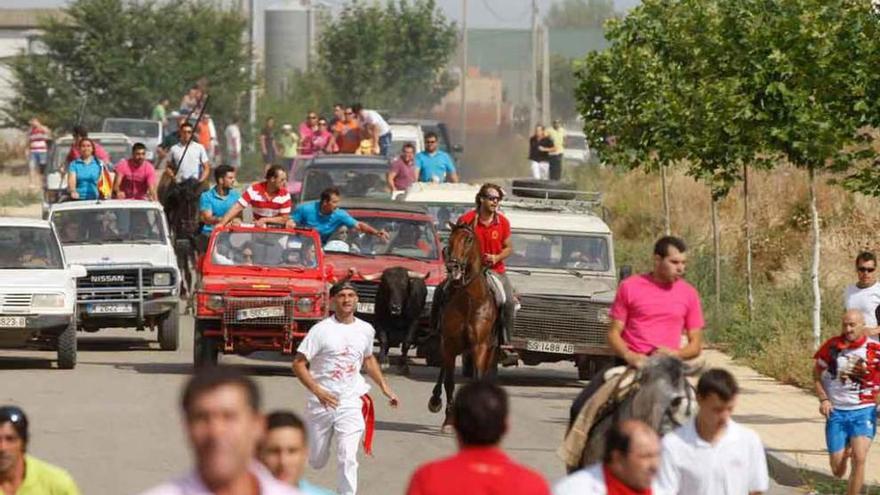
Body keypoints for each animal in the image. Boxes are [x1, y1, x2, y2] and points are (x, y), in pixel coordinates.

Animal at [428, 221, 498, 430]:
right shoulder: (450, 344)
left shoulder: (480, 346)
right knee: (444, 371)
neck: (470, 300)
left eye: (468, 240)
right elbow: (449, 382)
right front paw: (450, 420)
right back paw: (435, 400)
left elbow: (477, 378)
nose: (453, 265)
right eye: (450, 240)